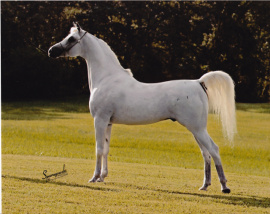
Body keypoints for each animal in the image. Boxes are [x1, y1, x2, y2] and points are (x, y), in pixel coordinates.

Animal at [48, 22, 236, 193]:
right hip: (196, 130)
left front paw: (94, 177)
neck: (107, 78)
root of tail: (198, 82)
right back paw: (205, 185)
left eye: (71, 39)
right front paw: (103, 176)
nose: (51, 51)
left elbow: (99, 149)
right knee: (206, 153)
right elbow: (106, 149)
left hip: (197, 129)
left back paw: (224, 187)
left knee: (213, 149)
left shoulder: (99, 120)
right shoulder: (108, 122)